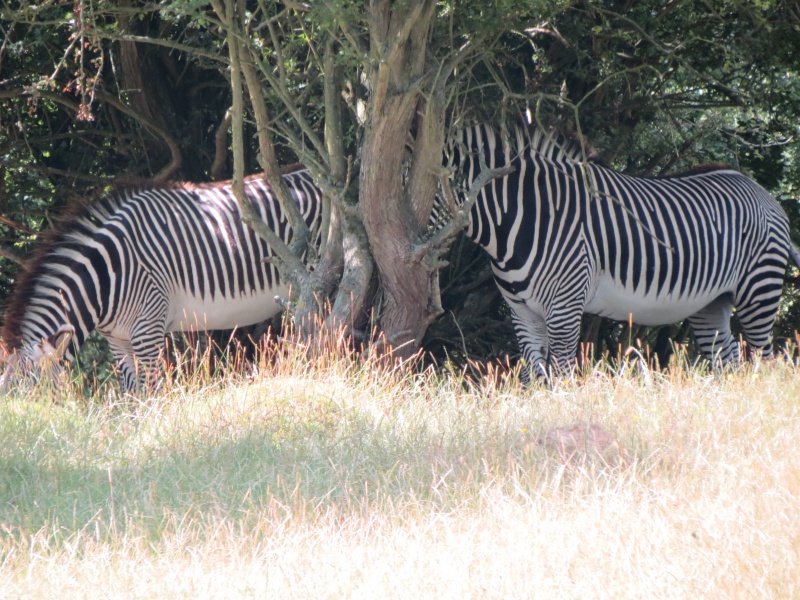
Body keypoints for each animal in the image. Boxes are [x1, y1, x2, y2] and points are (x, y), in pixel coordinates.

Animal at [0, 168, 318, 394]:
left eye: (30, 393)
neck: (107, 278)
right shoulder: (118, 340)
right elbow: (132, 392)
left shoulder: (148, 330)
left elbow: (150, 390)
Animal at [444, 123, 800, 380]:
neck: (526, 215)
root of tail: (763, 192)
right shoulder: (523, 314)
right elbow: (537, 379)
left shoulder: (564, 307)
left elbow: (561, 376)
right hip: (712, 301)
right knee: (729, 360)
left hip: (759, 289)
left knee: (766, 361)